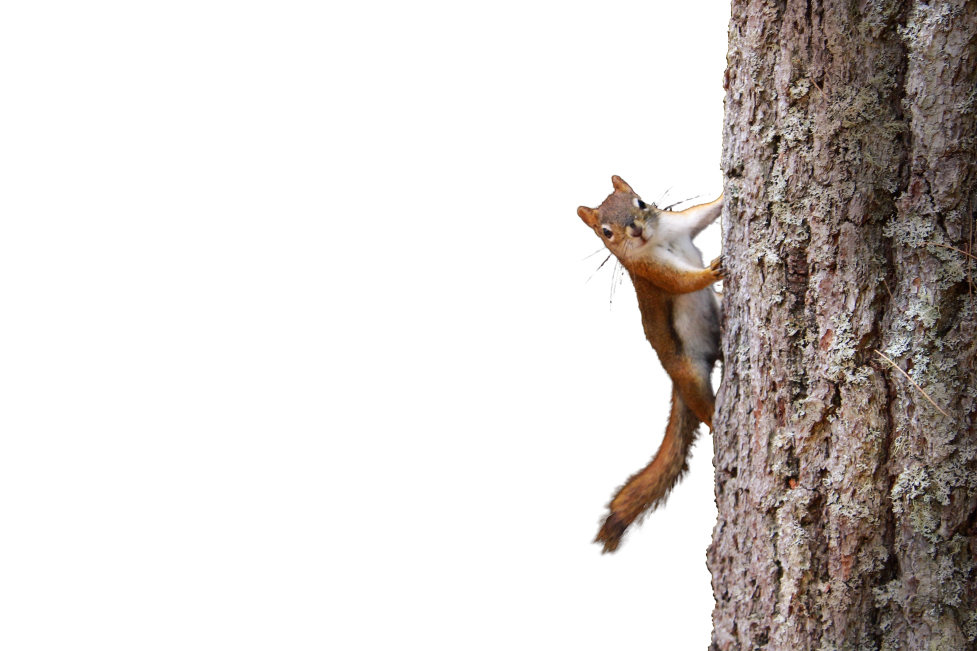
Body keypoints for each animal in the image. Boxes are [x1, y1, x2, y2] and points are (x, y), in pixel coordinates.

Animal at [577, 175, 724, 556]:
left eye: (641, 203)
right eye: (606, 232)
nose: (636, 230)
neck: (657, 239)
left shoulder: (679, 224)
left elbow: (703, 214)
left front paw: (725, 194)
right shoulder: (650, 272)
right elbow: (681, 282)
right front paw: (710, 272)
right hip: (689, 374)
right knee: (703, 407)